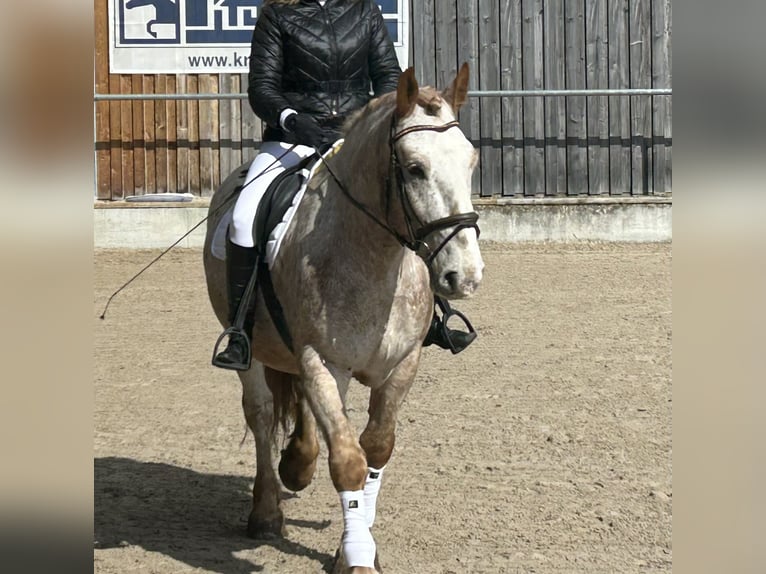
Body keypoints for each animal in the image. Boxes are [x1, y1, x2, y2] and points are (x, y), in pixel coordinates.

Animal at [203, 64, 484, 574]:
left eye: (470, 162)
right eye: (414, 168)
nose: (465, 276)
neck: (375, 258)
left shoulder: (402, 365)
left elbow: (375, 450)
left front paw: (360, 542)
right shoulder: (322, 361)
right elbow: (347, 460)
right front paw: (356, 556)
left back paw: (298, 463)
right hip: (254, 349)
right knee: (262, 413)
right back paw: (266, 510)